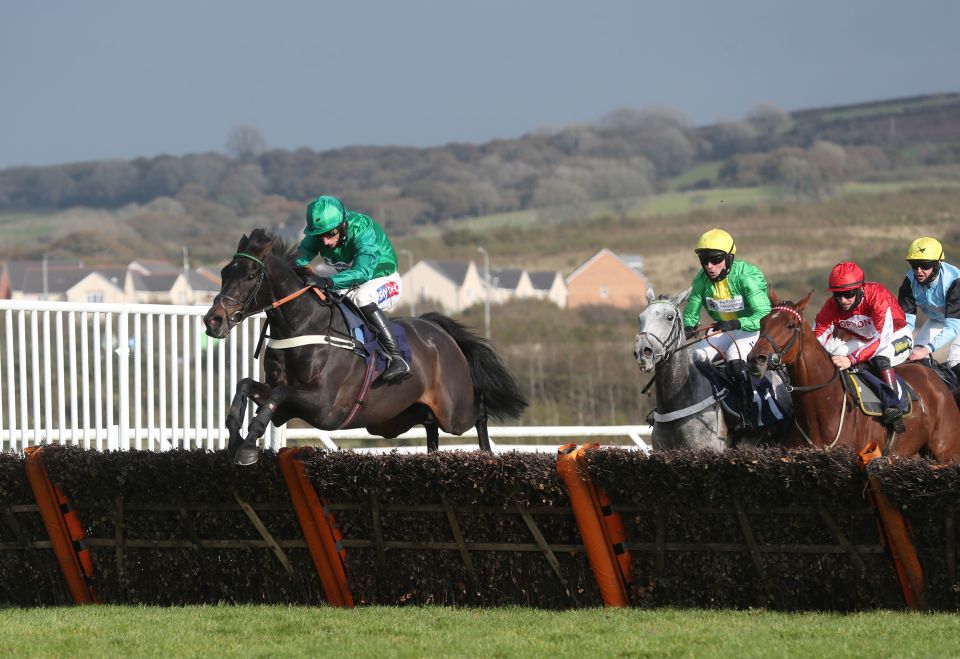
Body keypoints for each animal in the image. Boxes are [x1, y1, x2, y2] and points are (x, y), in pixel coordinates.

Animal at [204, 229, 532, 466]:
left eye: (249, 275)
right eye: (224, 272)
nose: (213, 320)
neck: (303, 325)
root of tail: (438, 331)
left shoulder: (323, 405)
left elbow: (277, 396)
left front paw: (248, 446)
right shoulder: (284, 400)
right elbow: (246, 385)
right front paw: (235, 440)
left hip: (454, 410)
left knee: (478, 413)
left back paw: (487, 455)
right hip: (402, 415)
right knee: (430, 426)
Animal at [748, 292, 960, 462]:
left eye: (791, 325)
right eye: (762, 322)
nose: (755, 359)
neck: (823, 407)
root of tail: (935, 377)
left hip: (948, 453)